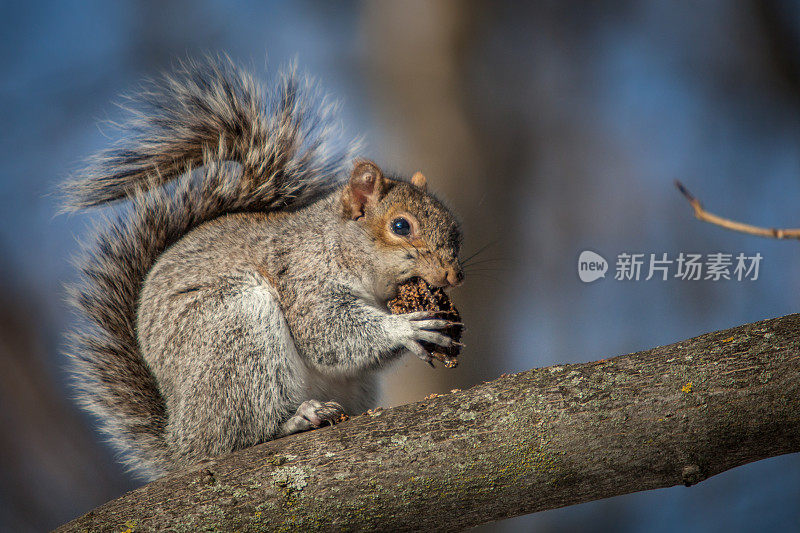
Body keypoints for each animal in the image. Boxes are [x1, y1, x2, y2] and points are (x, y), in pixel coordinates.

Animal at [65, 58, 466, 478]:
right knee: (239, 435)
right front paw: (406, 328)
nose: (454, 275)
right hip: (238, 334)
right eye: (401, 226)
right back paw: (296, 419)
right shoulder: (304, 279)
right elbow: (327, 336)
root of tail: (181, 443)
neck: (337, 245)